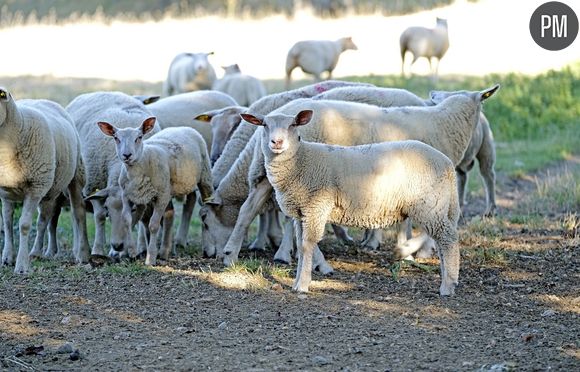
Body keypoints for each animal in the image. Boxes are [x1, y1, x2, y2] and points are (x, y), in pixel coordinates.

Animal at [0, 87, 90, 274]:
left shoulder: (35, 188)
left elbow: (24, 225)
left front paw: (21, 266)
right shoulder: (5, 192)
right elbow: (7, 223)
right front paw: (7, 257)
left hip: (75, 175)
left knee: (78, 212)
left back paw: (83, 254)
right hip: (50, 188)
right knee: (45, 218)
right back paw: (37, 252)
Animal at [65, 91, 161, 258]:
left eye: (133, 209)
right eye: (108, 209)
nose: (117, 245)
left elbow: (142, 219)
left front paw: (132, 250)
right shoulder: (94, 186)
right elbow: (99, 217)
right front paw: (98, 250)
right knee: (76, 214)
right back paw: (78, 250)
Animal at [98, 120, 214, 266]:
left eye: (139, 137)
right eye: (116, 138)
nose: (127, 155)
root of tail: (183, 127)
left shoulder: (160, 197)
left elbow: (153, 225)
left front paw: (150, 258)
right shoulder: (128, 196)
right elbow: (127, 220)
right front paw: (132, 251)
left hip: (204, 178)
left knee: (207, 208)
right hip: (169, 189)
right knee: (173, 211)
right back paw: (165, 251)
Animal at [218, 84, 498, 266]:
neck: (445, 123)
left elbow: (406, 222)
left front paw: (406, 248)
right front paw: (409, 250)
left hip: (264, 174)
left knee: (247, 210)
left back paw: (230, 255)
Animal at [241, 109, 462, 294]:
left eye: (293, 125)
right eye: (264, 125)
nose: (277, 142)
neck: (300, 161)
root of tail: (447, 164)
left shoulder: (316, 207)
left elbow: (307, 245)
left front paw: (302, 285)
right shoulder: (301, 213)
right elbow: (302, 246)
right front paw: (297, 282)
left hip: (429, 205)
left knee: (448, 239)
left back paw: (448, 285)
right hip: (437, 206)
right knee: (443, 240)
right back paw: (446, 278)